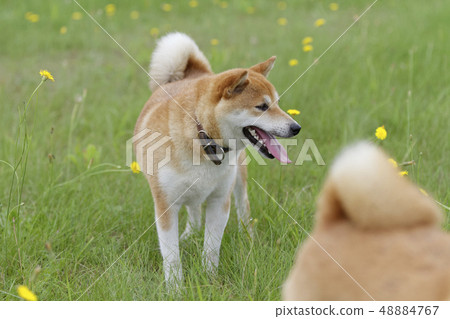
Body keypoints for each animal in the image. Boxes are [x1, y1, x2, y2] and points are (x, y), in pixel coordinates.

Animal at [135, 33, 300, 288]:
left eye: (277, 103)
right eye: (262, 107)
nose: (296, 127)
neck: (202, 136)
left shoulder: (220, 200)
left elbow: (211, 248)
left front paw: (209, 279)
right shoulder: (165, 204)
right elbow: (171, 255)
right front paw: (175, 289)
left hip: (238, 178)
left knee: (243, 207)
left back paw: (247, 236)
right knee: (193, 211)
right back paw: (189, 235)